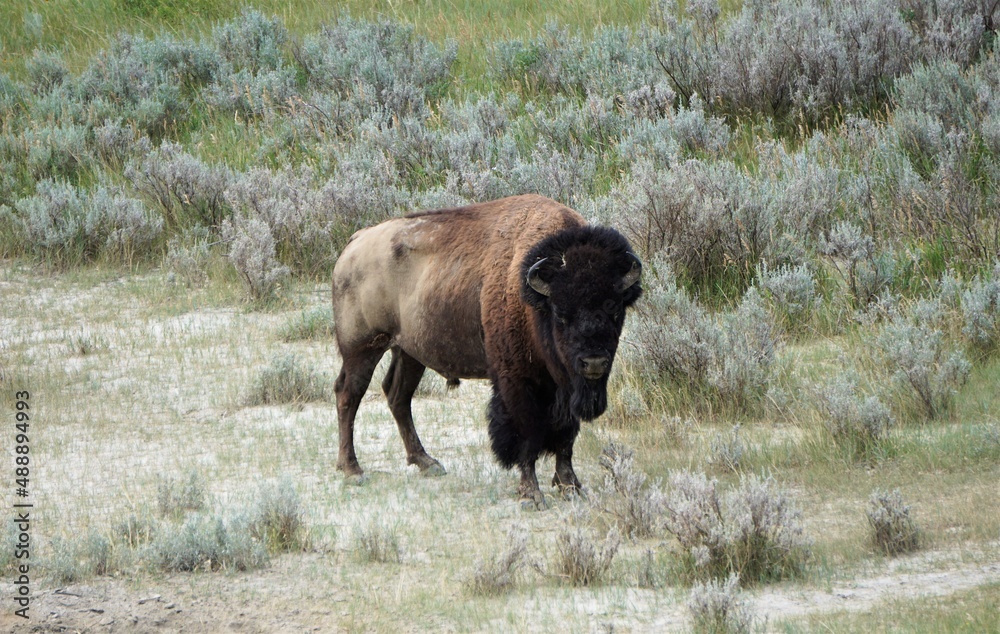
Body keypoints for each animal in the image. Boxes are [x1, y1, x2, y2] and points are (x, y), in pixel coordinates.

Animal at [328, 193, 640, 504]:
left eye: (614, 309)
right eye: (561, 314)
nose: (594, 362)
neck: (533, 296)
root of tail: (356, 241)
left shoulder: (567, 386)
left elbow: (566, 436)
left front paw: (571, 486)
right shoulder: (518, 380)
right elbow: (527, 432)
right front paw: (531, 493)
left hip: (409, 353)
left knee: (397, 396)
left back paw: (427, 462)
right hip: (362, 347)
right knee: (348, 394)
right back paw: (352, 469)